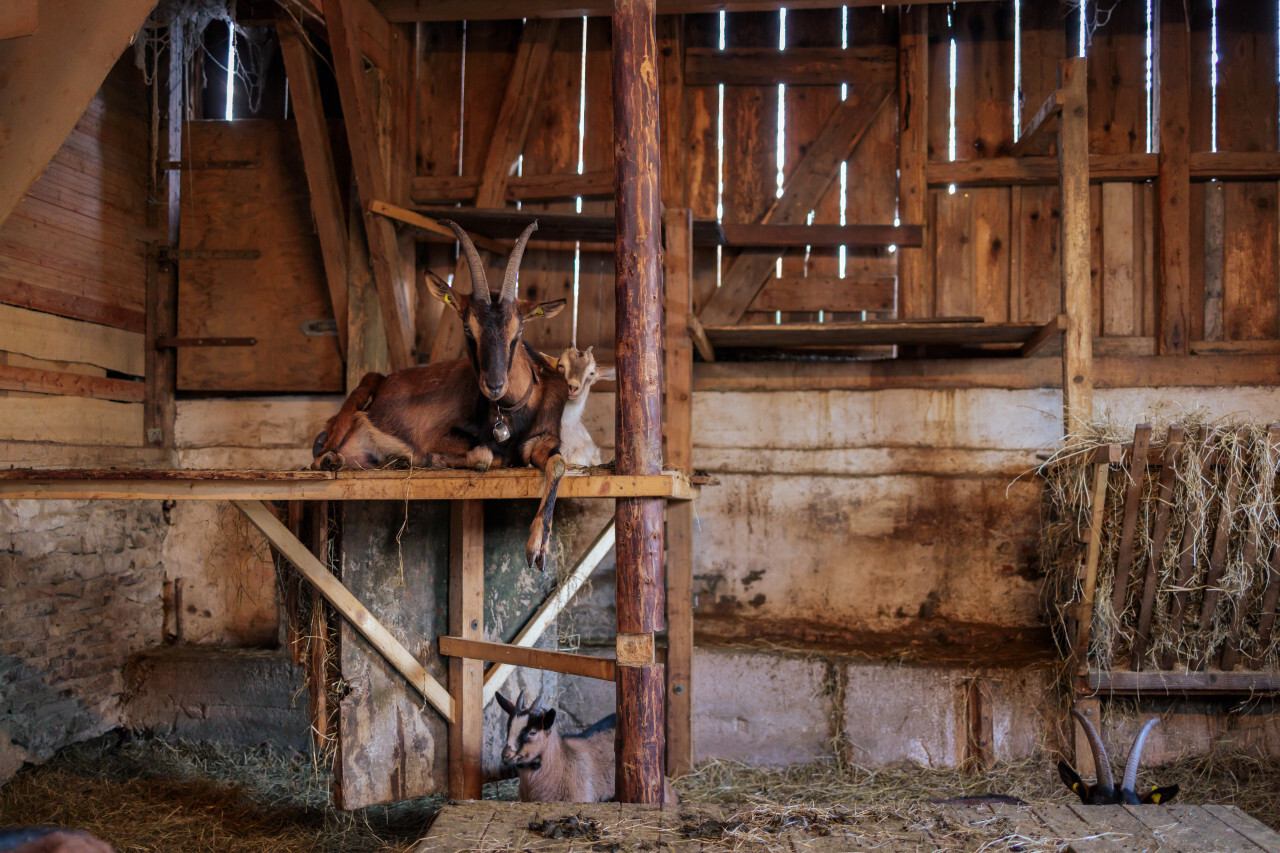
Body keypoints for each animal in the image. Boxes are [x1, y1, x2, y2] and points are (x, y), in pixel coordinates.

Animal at [307, 219, 568, 568]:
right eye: (468, 328)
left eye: (519, 329)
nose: (494, 384)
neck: (515, 411)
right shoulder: (436, 435)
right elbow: (486, 455)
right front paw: (439, 460)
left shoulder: (544, 440)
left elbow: (558, 464)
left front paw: (538, 546)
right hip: (362, 392)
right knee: (317, 458)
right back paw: (331, 459)